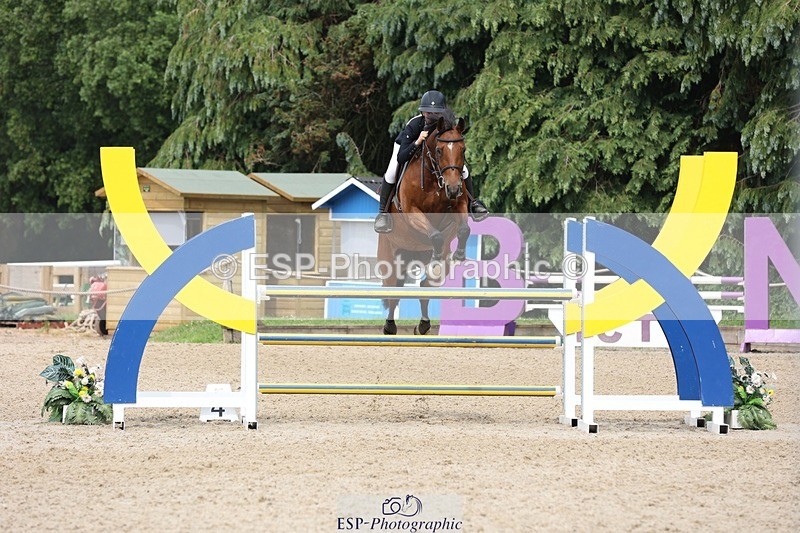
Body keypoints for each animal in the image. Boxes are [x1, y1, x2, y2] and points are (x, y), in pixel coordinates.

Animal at [376, 115, 471, 335]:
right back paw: (389, 327)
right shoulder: (412, 212)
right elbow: (435, 234)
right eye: (439, 150)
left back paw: (423, 325)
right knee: (394, 289)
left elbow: (463, 229)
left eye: (463, 150)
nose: (453, 188)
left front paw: (459, 254)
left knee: (425, 285)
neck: (433, 177)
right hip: (390, 257)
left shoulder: (458, 205)